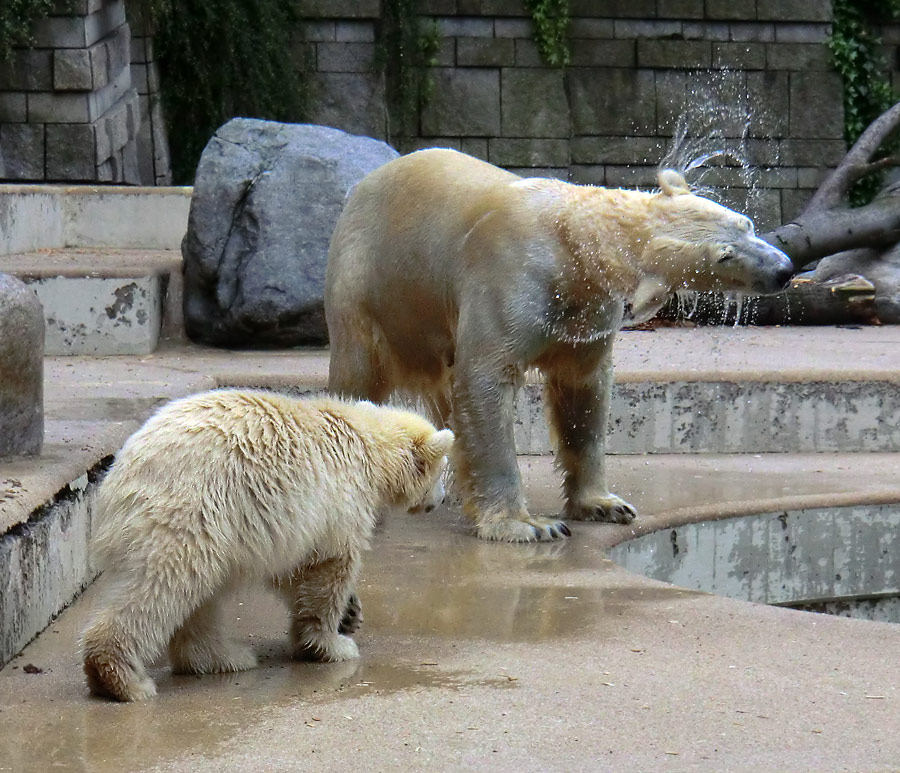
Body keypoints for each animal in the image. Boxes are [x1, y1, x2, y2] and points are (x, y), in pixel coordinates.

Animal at [326, 149, 792, 544]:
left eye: (745, 223)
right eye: (724, 256)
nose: (784, 269)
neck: (571, 241)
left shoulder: (587, 311)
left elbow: (582, 390)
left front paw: (605, 505)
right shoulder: (508, 279)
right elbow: (485, 380)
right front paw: (526, 525)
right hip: (368, 281)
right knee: (359, 372)